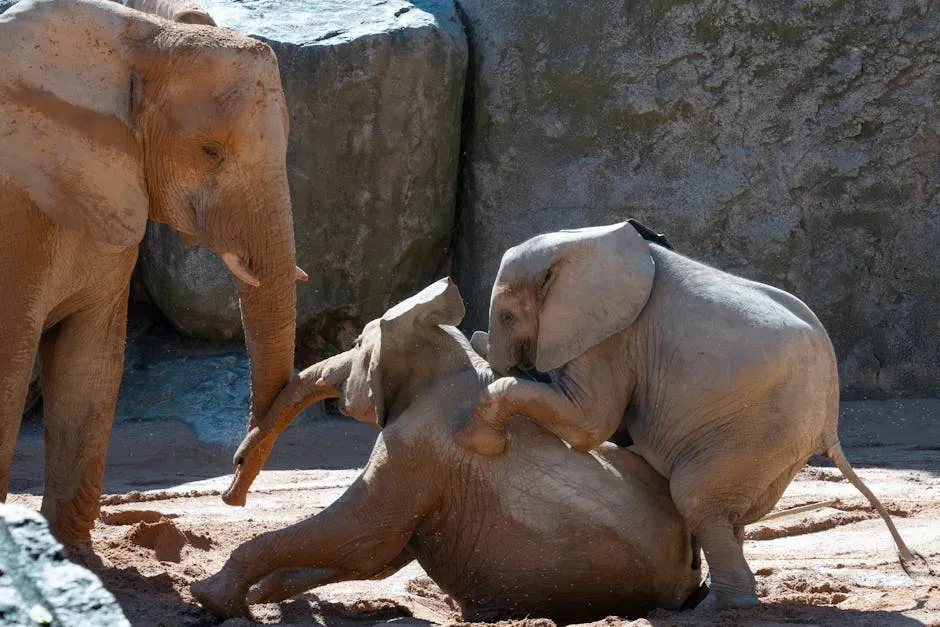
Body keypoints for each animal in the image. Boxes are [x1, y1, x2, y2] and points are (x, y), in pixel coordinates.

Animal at [0, 0, 304, 563]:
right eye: (210, 151)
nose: (231, 492)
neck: (138, 41)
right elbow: (9, 358)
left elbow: (91, 359)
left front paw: (72, 560)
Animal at [191, 279, 703, 623]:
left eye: (355, 343)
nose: (232, 491)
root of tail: (688, 575)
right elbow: (375, 554)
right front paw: (259, 596)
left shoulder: (417, 446)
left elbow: (362, 536)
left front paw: (210, 596)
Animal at [455, 221, 921, 610]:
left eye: (508, 316)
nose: (517, 364)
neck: (586, 242)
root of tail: (830, 423)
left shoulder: (612, 335)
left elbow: (589, 423)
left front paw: (478, 437)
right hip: (778, 441)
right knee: (728, 511)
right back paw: (711, 597)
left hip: (758, 426)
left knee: (695, 494)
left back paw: (718, 608)